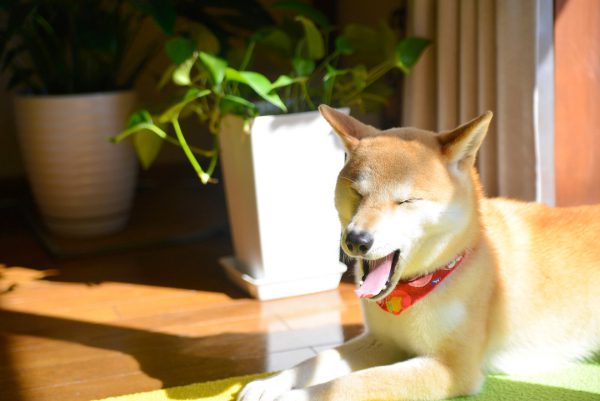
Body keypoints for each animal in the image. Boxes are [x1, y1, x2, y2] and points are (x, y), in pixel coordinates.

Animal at [237, 104, 600, 398]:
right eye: (357, 192)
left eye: (406, 201)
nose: (356, 240)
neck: (421, 286)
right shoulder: (383, 341)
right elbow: (318, 358)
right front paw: (271, 383)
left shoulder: (451, 368)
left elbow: (359, 382)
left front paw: (294, 396)